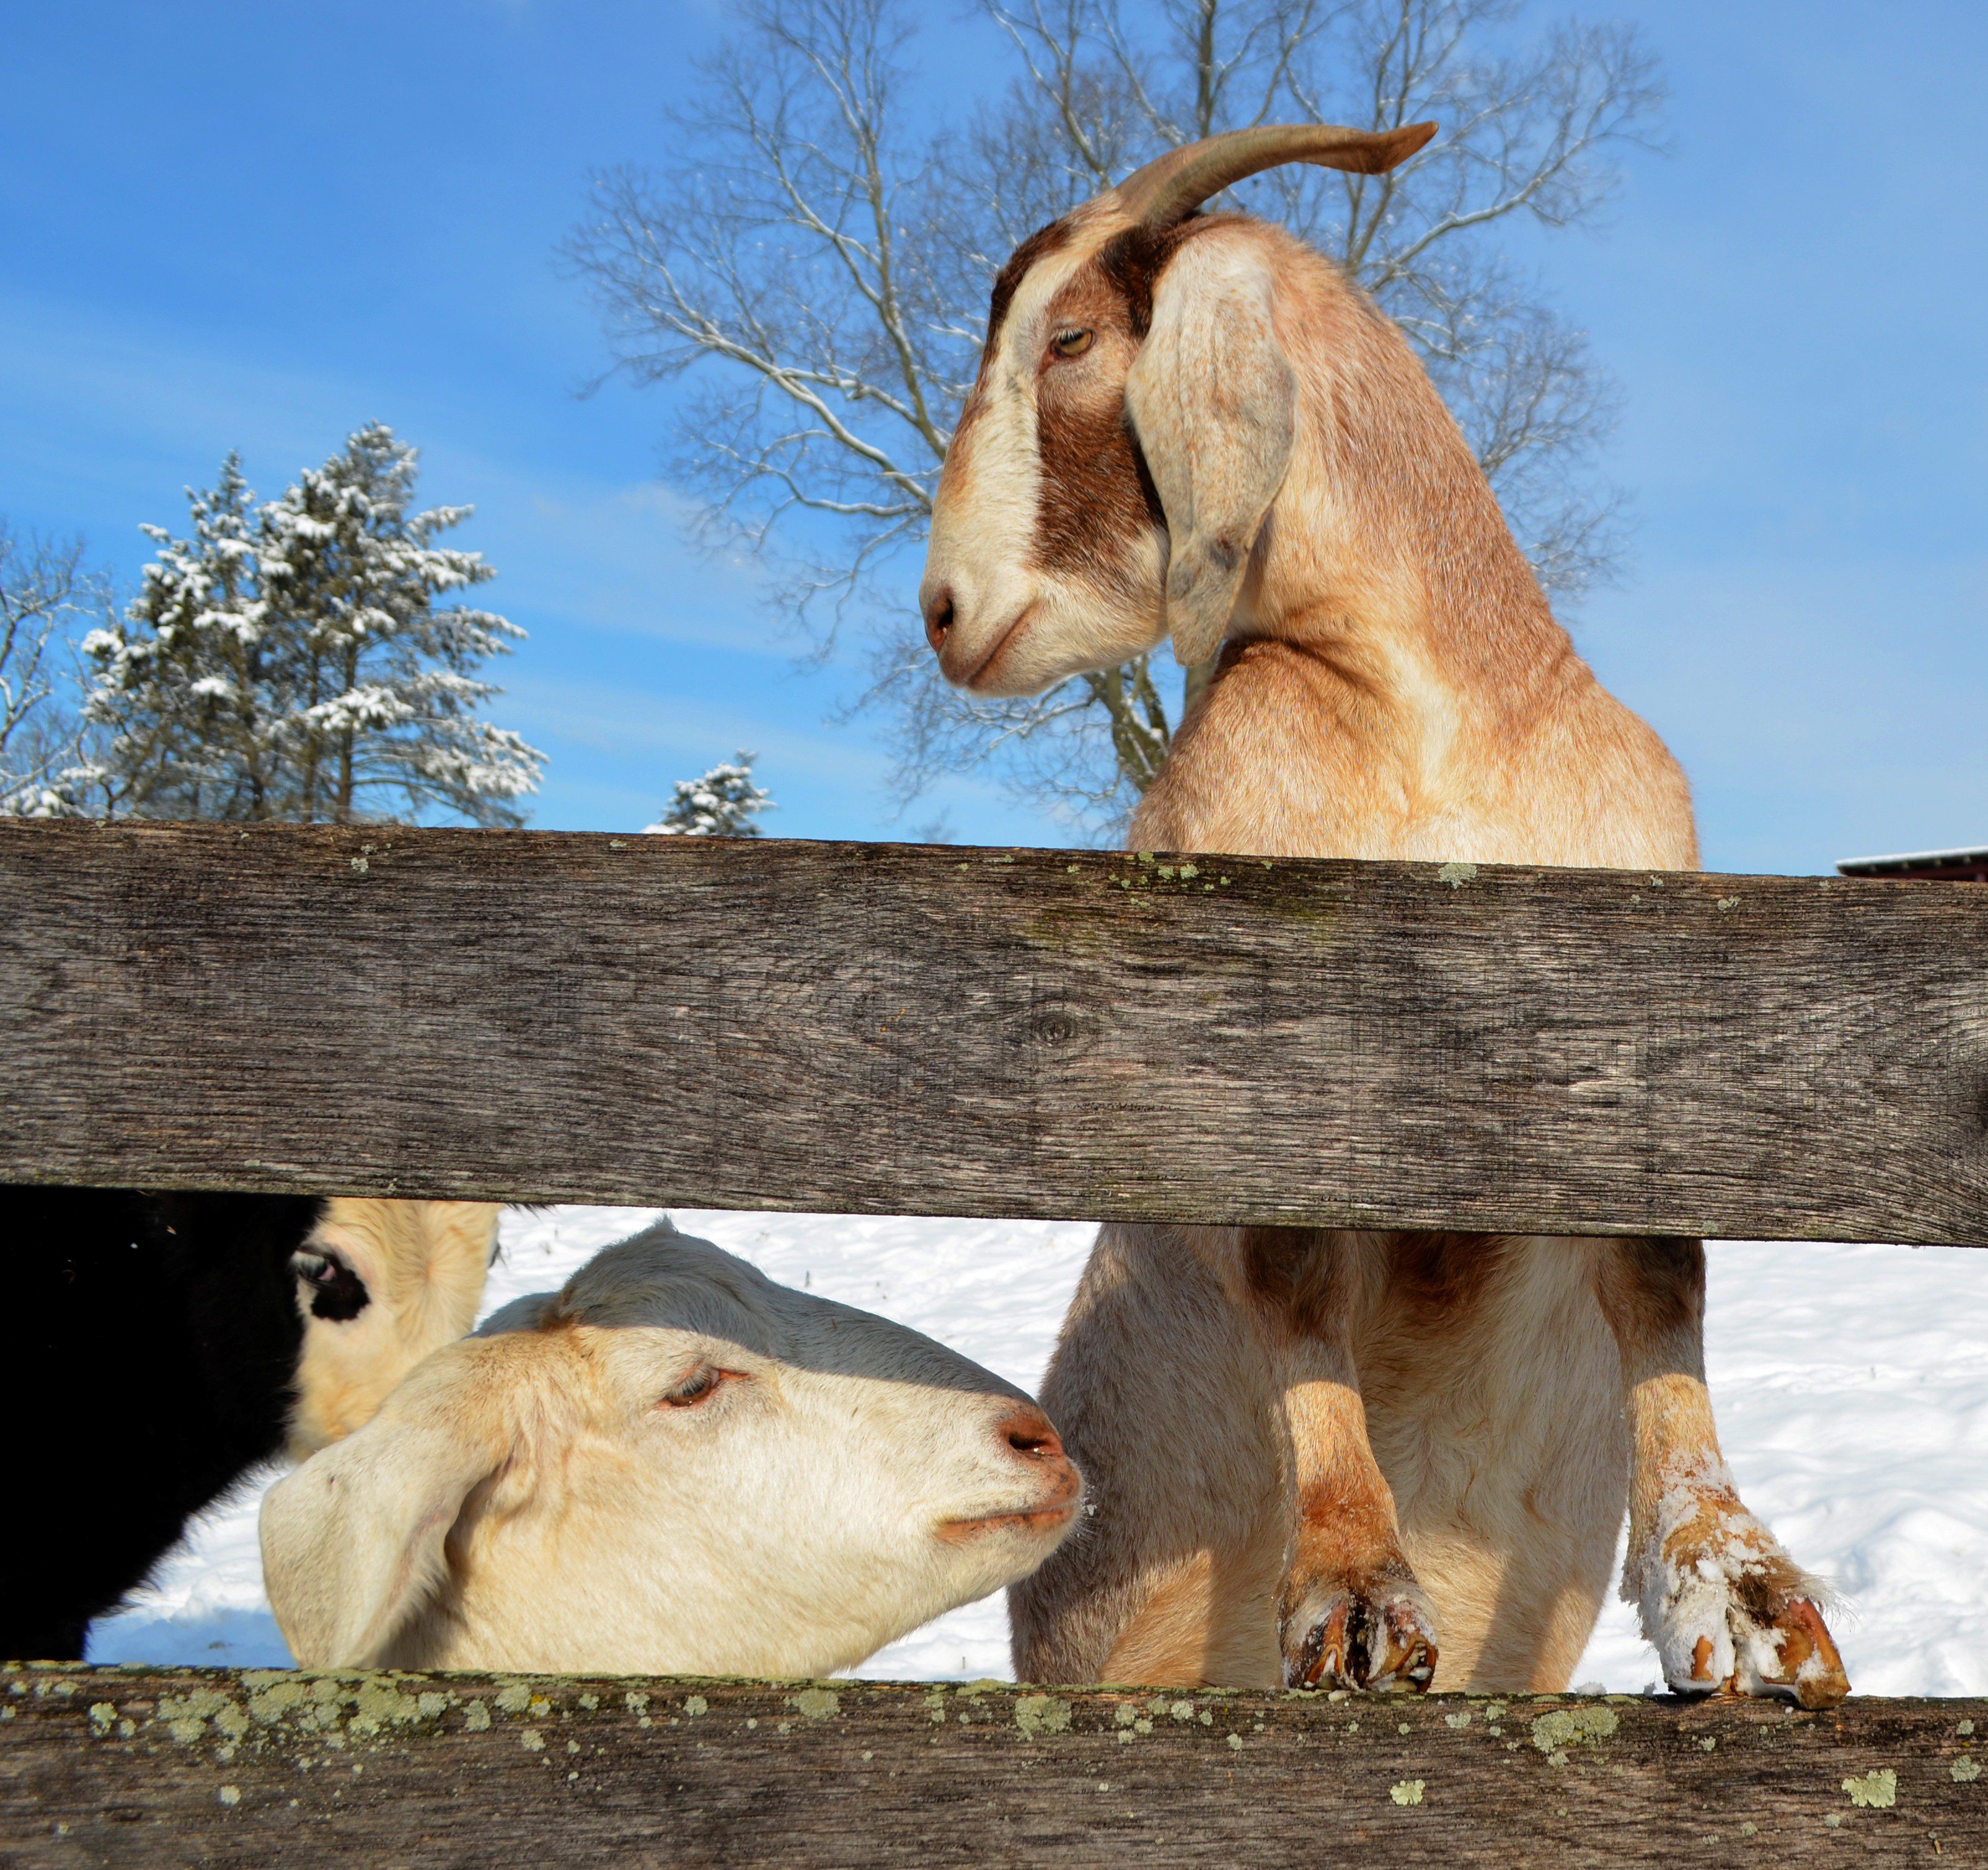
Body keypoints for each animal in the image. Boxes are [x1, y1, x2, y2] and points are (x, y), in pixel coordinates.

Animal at [918, 123, 1849, 1706]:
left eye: (1071, 336)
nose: (943, 609)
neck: (1440, 733)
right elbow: (1296, 1274)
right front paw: (1354, 1587)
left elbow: (1660, 1272)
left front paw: (1737, 1590)